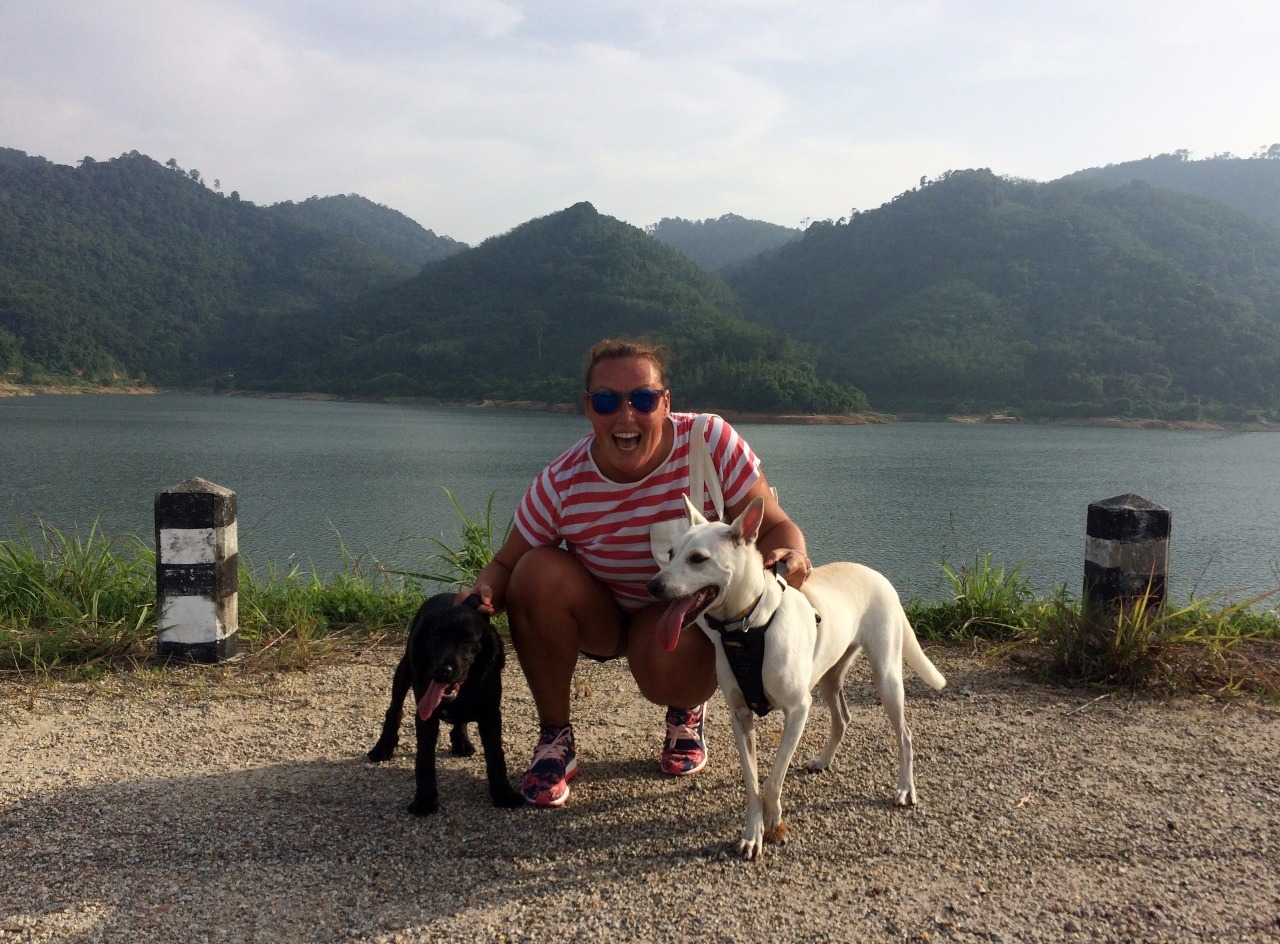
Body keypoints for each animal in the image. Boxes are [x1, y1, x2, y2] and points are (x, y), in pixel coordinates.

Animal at [367, 592, 524, 815]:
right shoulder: (425, 716)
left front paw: (503, 794)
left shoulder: (491, 715)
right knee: (394, 710)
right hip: (405, 669)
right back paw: (382, 748)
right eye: (436, 639)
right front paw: (424, 800)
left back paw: (461, 742)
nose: (443, 671)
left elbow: (496, 755)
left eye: (466, 641)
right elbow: (424, 758)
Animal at [648, 496, 947, 860]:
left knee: (905, 735)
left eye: (698, 559)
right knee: (843, 718)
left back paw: (905, 788)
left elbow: (774, 778)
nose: (653, 586)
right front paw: (753, 832)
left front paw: (774, 819)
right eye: (670, 553)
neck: (747, 627)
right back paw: (823, 760)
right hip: (830, 678)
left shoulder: (798, 710)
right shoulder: (740, 717)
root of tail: (877, 574)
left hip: (887, 678)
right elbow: (753, 783)